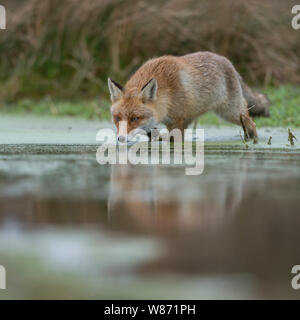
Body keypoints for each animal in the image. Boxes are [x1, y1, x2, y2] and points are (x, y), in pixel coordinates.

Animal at [108, 51, 270, 141]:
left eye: (134, 118)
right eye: (117, 118)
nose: (120, 139)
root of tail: (228, 62)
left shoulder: (176, 122)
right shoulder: (159, 125)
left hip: (230, 113)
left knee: (252, 124)